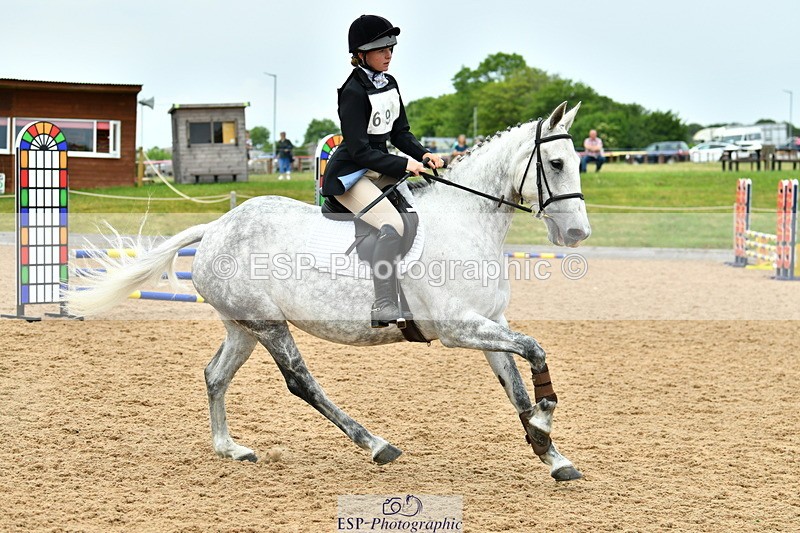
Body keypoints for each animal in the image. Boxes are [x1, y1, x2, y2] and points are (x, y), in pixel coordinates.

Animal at [67, 101, 591, 481]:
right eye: (556, 162)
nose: (578, 234)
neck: (466, 223)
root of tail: (215, 227)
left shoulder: (489, 324)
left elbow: (516, 385)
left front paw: (551, 454)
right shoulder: (458, 328)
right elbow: (535, 351)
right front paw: (545, 422)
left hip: (242, 325)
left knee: (216, 375)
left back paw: (229, 448)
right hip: (268, 324)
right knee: (300, 381)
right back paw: (376, 445)